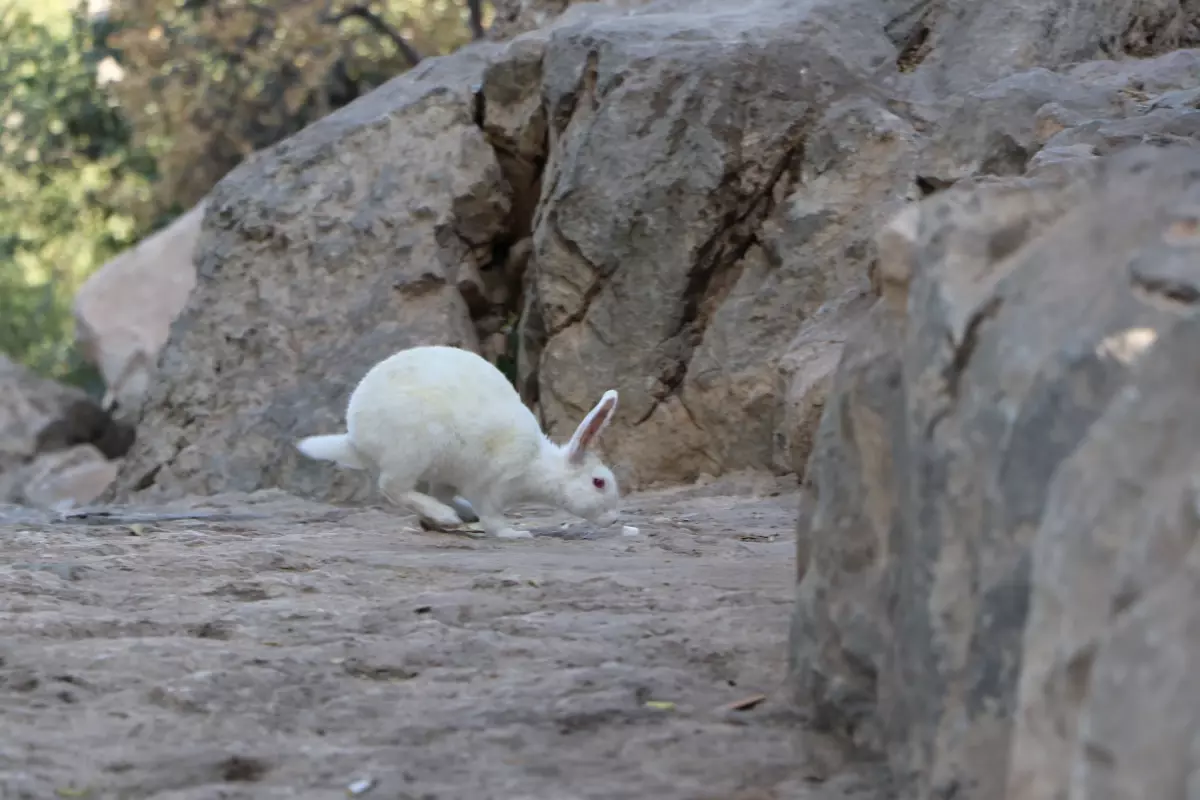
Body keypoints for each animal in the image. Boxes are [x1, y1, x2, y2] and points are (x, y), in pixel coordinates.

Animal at [296, 345, 624, 537]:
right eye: (599, 482)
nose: (615, 520)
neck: (537, 466)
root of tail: (355, 438)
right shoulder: (489, 485)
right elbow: (492, 517)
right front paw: (514, 533)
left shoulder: (452, 479)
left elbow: (447, 494)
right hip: (411, 451)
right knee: (392, 488)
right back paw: (447, 516)